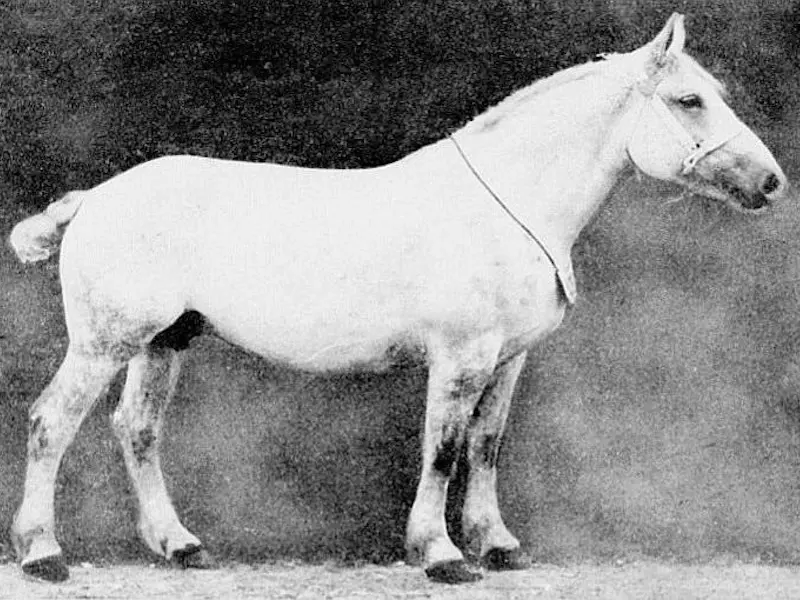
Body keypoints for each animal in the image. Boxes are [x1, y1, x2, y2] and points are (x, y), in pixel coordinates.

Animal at [8, 13, 788, 584]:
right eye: (689, 100)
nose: (771, 182)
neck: (505, 205)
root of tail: (95, 198)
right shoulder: (461, 359)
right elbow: (442, 449)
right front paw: (441, 555)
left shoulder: (508, 361)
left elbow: (485, 446)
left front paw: (498, 546)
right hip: (105, 344)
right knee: (51, 424)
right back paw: (43, 554)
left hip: (164, 342)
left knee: (136, 430)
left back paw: (179, 546)